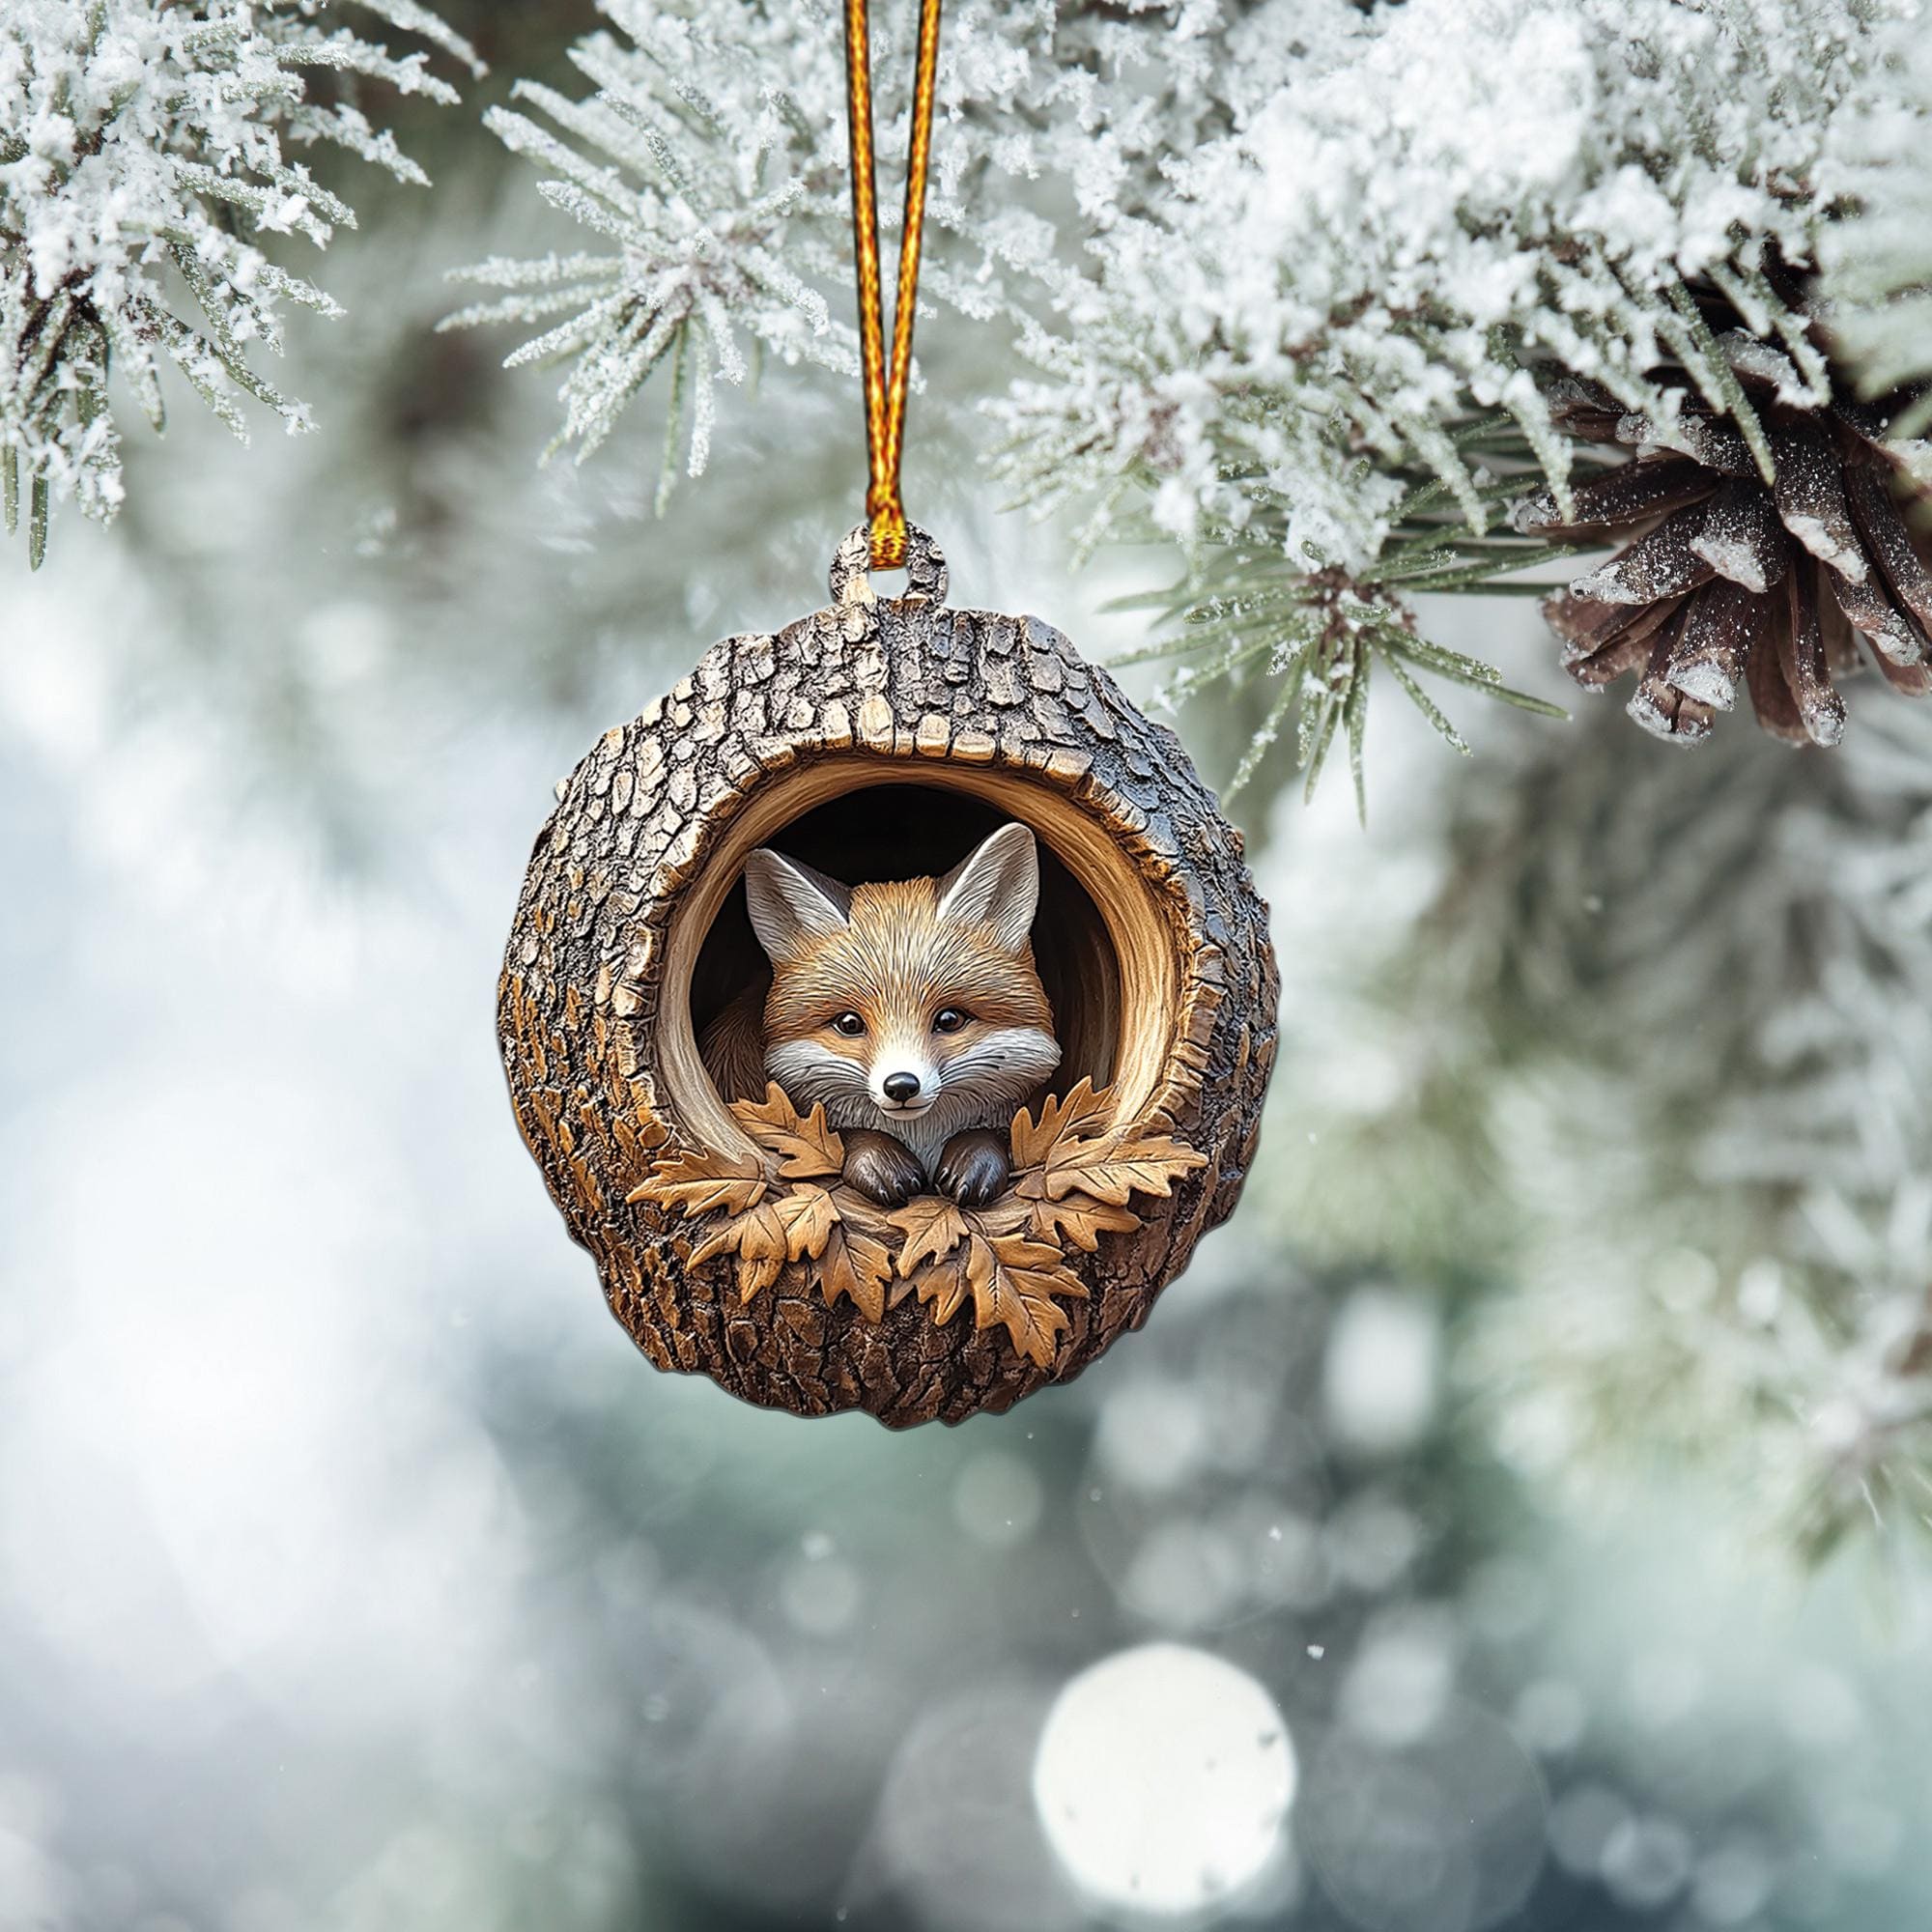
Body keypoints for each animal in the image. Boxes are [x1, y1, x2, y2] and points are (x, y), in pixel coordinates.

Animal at [699, 821, 1062, 1207]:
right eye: (849, 1024)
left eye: (949, 1020)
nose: (901, 1085)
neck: (920, 1138)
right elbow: (848, 1135)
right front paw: (880, 1162)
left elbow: (994, 1135)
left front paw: (974, 1161)